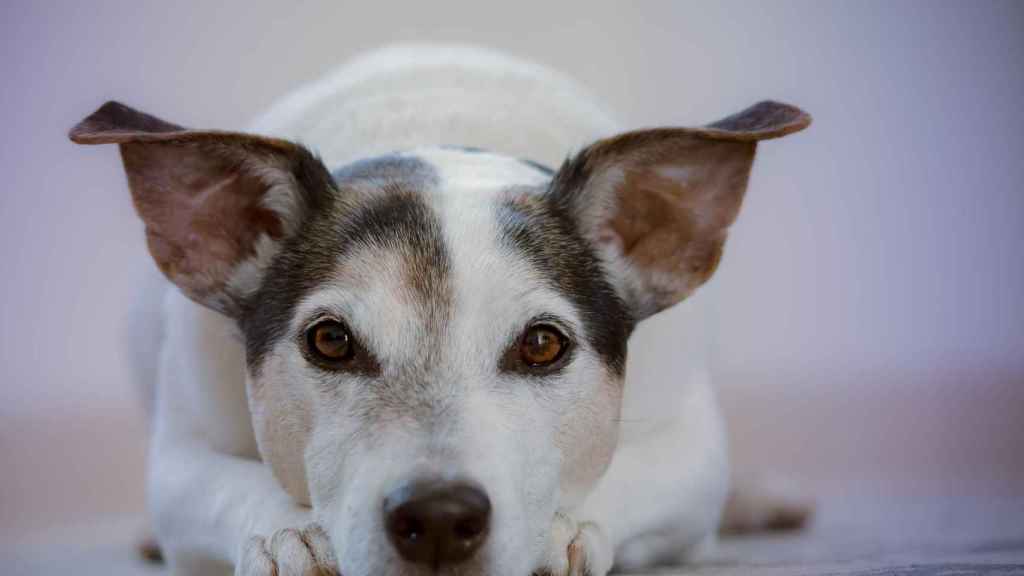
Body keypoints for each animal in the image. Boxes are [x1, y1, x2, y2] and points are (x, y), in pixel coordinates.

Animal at [70, 44, 806, 573]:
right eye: (330, 340)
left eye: (543, 344)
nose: (441, 518)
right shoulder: (180, 459)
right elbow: (227, 486)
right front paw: (292, 533)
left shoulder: (690, 449)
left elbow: (628, 477)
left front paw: (561, 531)